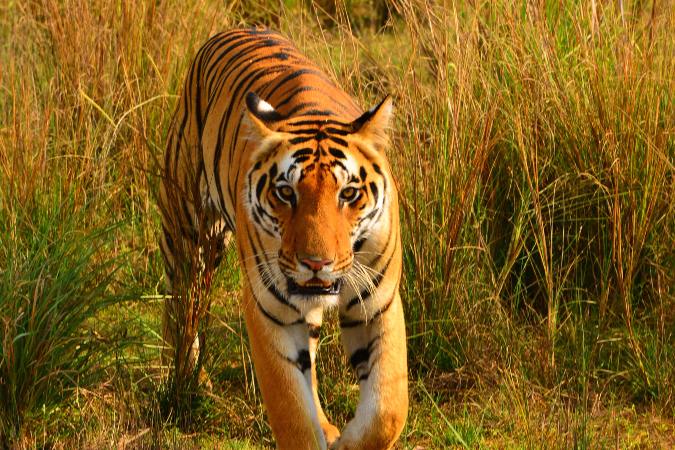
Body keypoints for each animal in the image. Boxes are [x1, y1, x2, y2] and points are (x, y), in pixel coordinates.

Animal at [159, 29, 410, 450]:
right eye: (285, 193)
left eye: (348, 194)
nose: (316, 263)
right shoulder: (268, 308)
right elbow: (292, 411)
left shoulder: (379, 301)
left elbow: (387, 410)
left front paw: (345, 440)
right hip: (188, 227)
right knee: (182, 307)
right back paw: (187, 381)